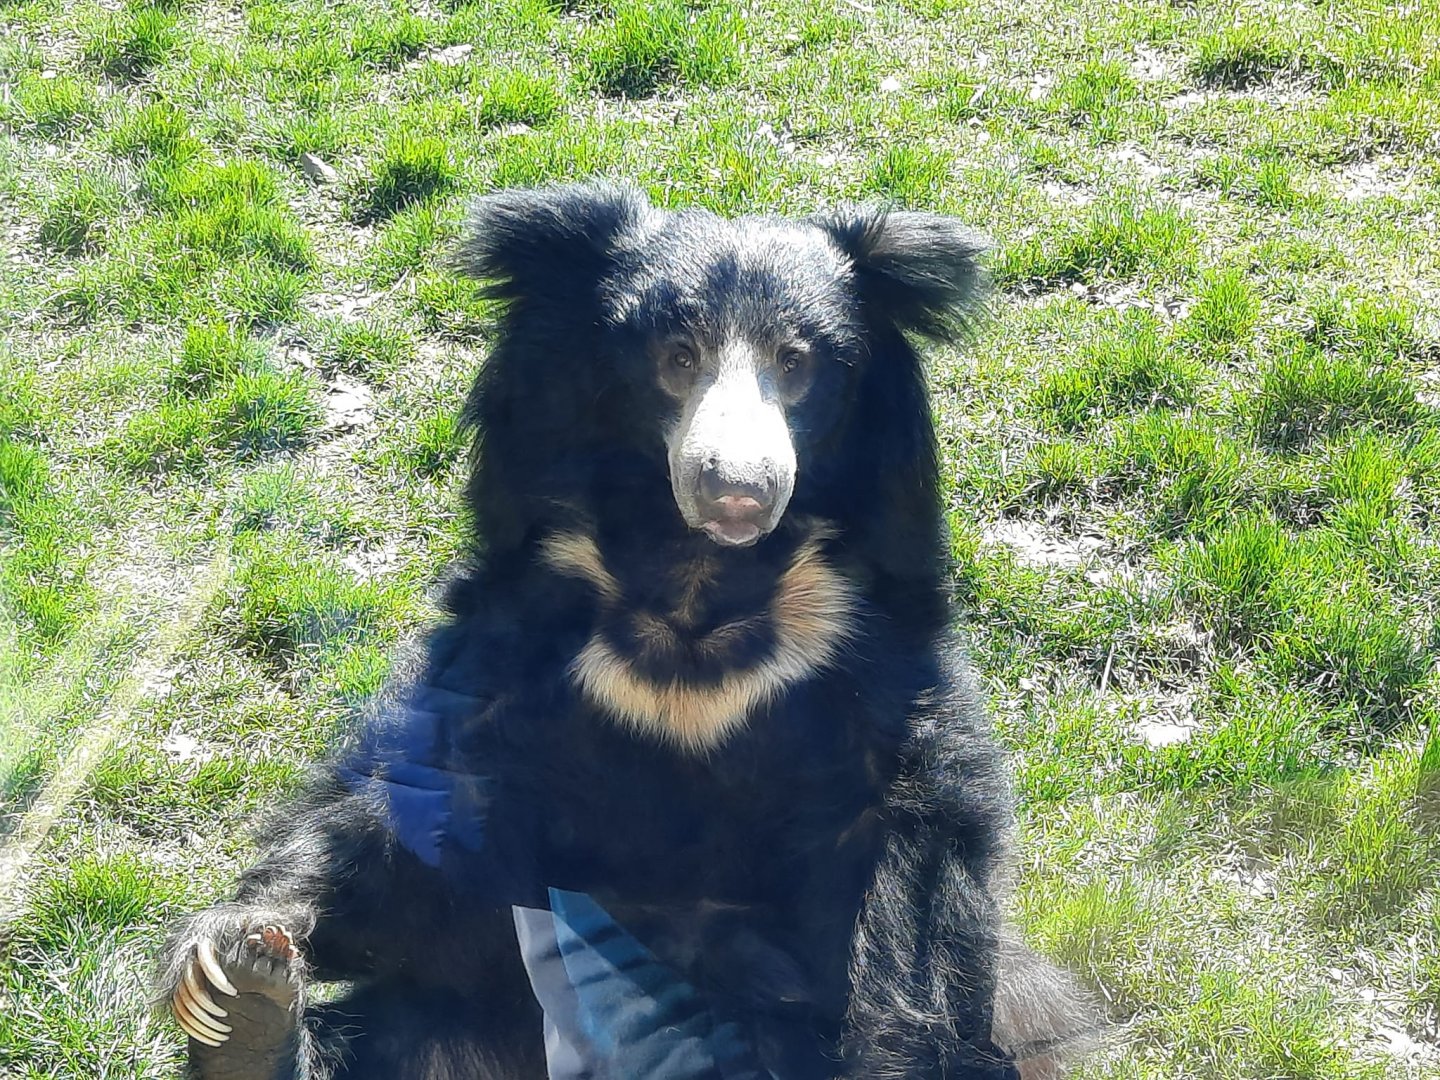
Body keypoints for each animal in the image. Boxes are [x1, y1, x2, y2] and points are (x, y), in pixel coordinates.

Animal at [157, 182, 1097, 1080]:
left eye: (797, 363)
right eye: (677, 358)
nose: (737, 490)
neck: (695, 593)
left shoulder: (863, 649)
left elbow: (915, 853)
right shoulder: (526, 623)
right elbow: (412, 803)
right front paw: (237, 959)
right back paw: (252, 1033)